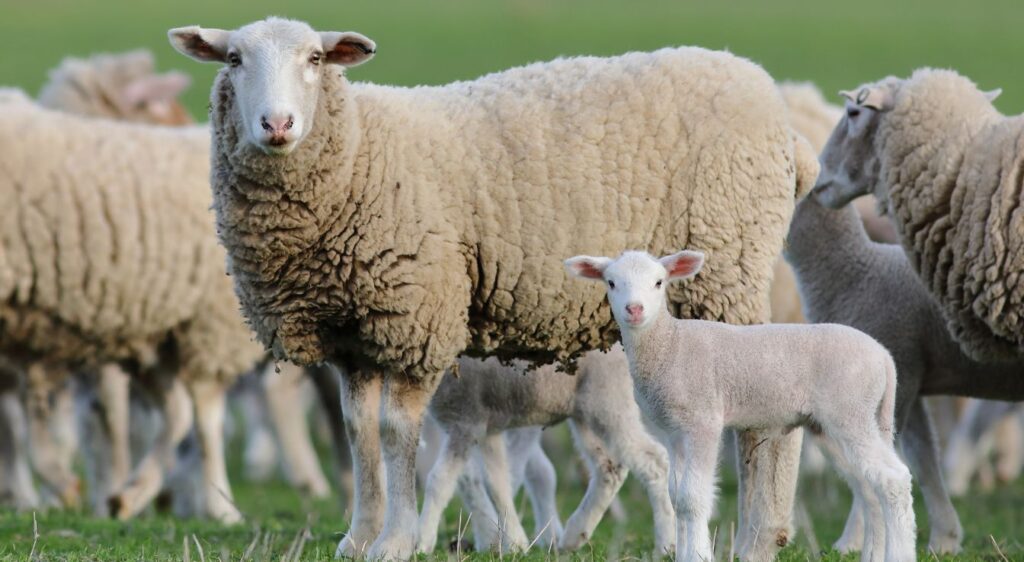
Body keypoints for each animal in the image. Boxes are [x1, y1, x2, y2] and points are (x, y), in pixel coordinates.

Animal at [0, 91, 266, 523]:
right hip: (155, 335)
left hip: (204, 325)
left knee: (204, 414)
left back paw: (215, 507)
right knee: (178, 411)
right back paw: (130, 493)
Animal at [418, 345, 674, 555]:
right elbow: (496, 483)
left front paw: (422, 542)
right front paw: (512, 542)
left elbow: (439, 481)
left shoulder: (466, 422)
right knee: (610, 467)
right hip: (585, 413)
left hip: (609, 401)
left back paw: (666, 544)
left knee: (654, 461)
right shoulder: (487, 429)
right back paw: (574, 534)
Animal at [566, 250, 917, 562]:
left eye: (658, 282)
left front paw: (698, 555)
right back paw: (873, 554)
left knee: (894, 479)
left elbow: (692, 497)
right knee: (870, 487)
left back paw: (899, 554)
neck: (670, 344)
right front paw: (683, 552)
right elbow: (677, 495)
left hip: (850, 411)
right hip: (849, 420)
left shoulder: (703, 420)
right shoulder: (673, 431)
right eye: (611, 282)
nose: (634, 309)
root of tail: (883, 357)